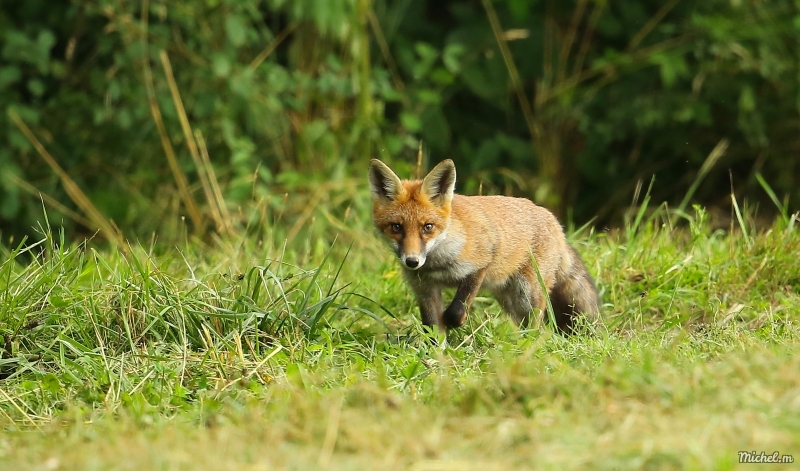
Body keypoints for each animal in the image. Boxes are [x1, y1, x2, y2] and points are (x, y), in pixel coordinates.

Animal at [370, 159, 600, 336]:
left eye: (428, 227)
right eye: (396, 227)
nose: (412, 261)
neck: (438, 264)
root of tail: (557, 224)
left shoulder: (481, 262)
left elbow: (455, 311)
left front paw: (453, 323)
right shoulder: (424, 288)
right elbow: (433, 328)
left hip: (527, 293)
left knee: (539, 328)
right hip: (510, 300)